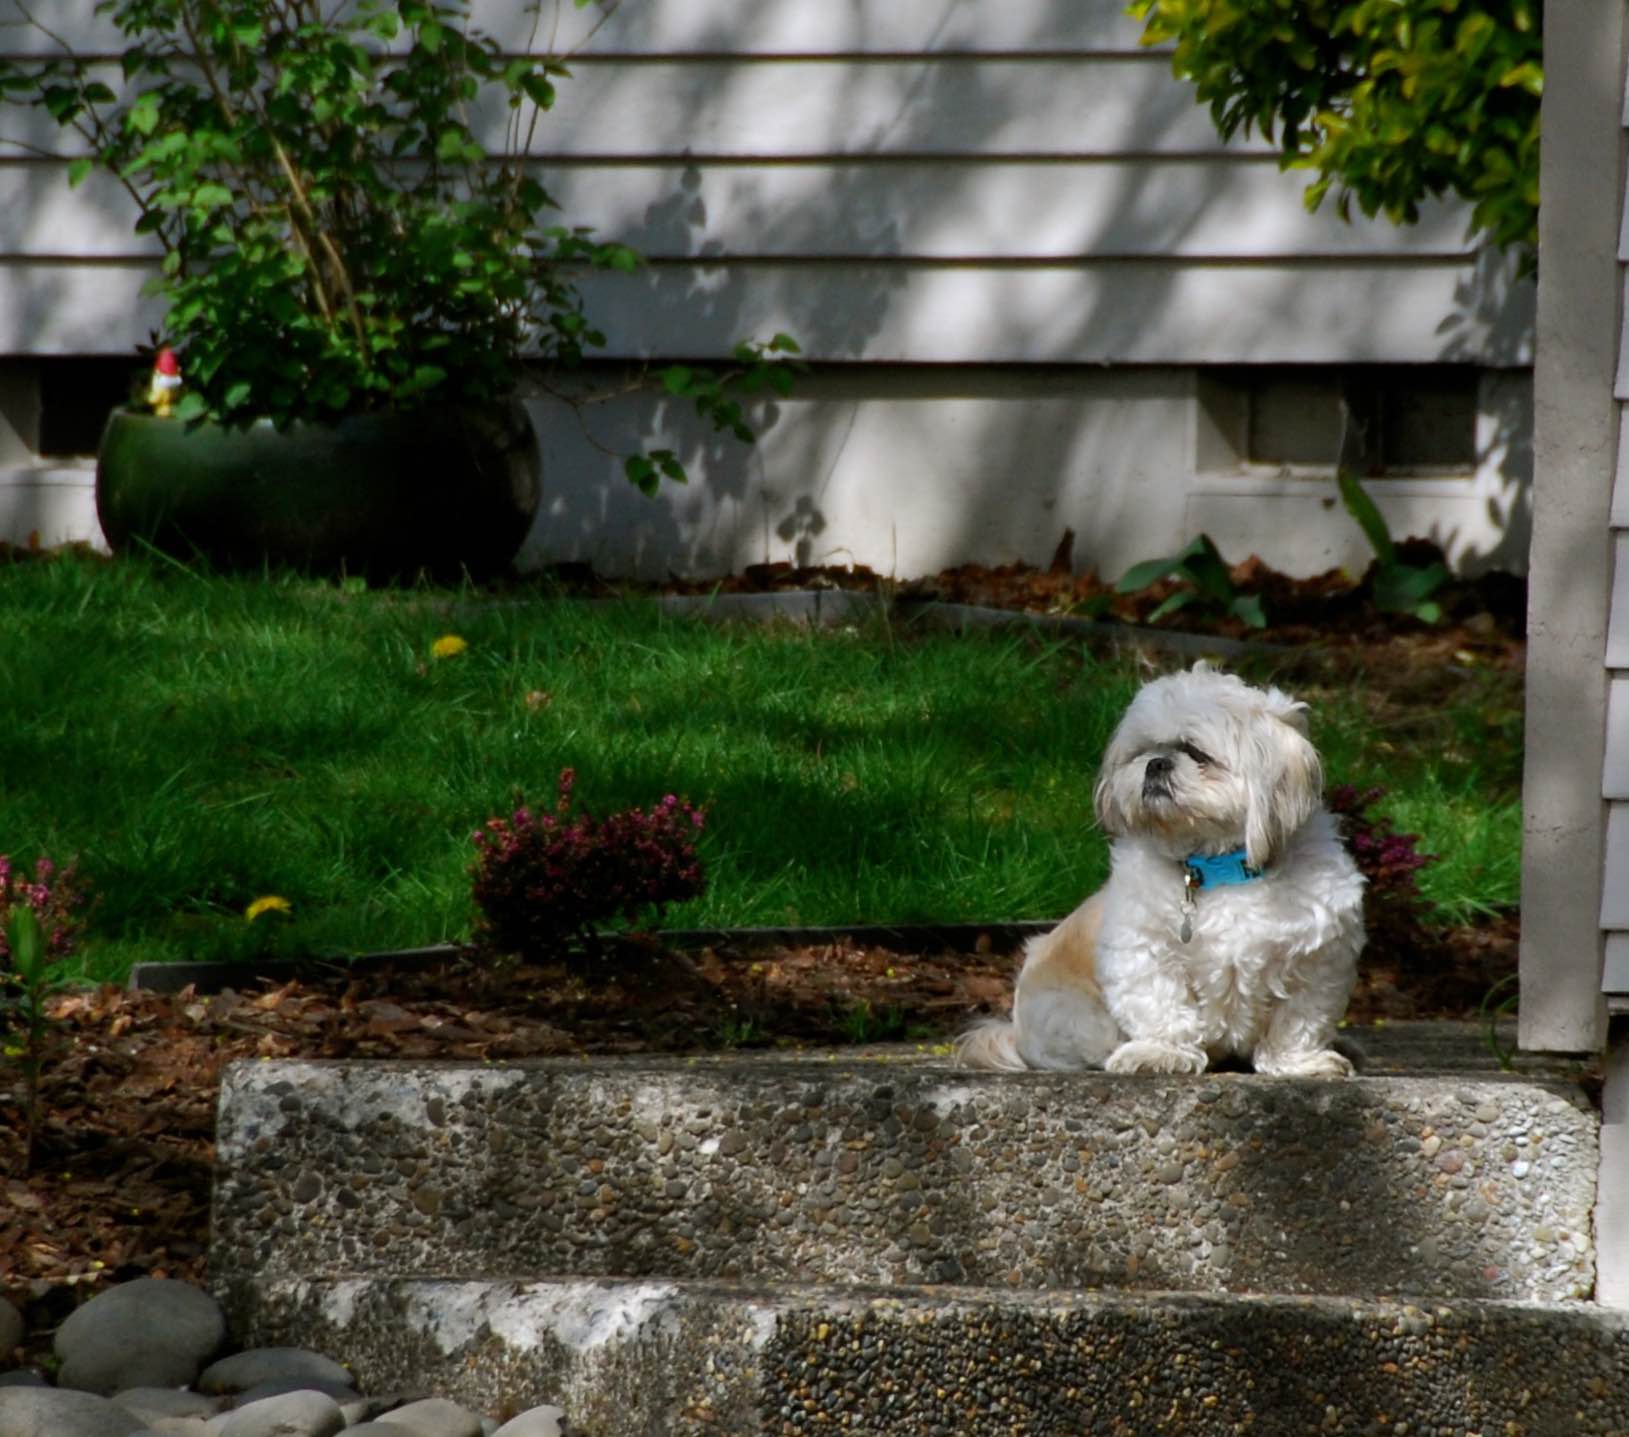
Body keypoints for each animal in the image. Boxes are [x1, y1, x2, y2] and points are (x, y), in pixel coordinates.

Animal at [958, 663, 1364, 1076]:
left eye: (1196, 753)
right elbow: (1162, 1007)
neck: (1218, 869)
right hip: (1072, 1015)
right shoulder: (1142, 951)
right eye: (1144, 750)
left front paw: (1301, 1062)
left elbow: (1298, 1022)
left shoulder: (1318, 963)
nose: (1156, 763)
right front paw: (1160, 1053)